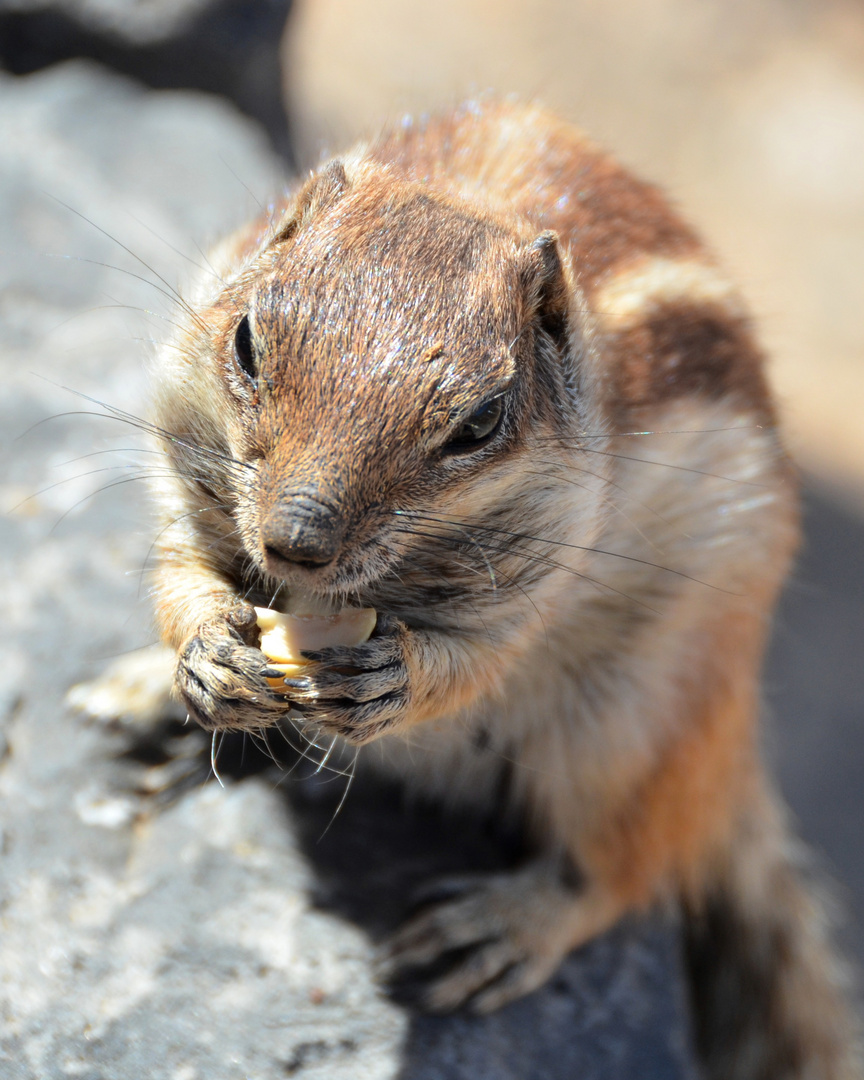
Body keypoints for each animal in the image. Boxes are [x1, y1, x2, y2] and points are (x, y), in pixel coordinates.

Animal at [104, 99, 855, 1071]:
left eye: (481, 421)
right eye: (245, 343)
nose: (295, 540)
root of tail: (730, 756)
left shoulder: (543, 567)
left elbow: (476, 662)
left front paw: (398, 679)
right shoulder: (185, 460)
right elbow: (181, 571)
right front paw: (198, 659)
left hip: (632, 727)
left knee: (625, 869)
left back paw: (505, 927)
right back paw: (150, 708)